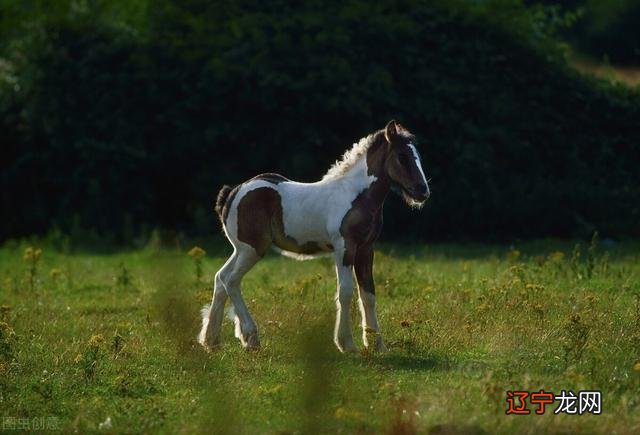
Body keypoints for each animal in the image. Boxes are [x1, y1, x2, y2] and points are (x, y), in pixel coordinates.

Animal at [199, 121, 430, 352]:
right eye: (402, 156)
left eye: (418, 156)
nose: (423, 192)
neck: (355, 195)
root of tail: (232, 193)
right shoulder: (344, 247)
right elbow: (345, 292)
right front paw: (347, 344)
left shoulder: (366, 249)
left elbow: (368, 293)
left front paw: (377, 345)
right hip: (252, 249)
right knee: (231, 280)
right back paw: (250, 337)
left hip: (240, 250)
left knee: (220, 278)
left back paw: (211, 340)